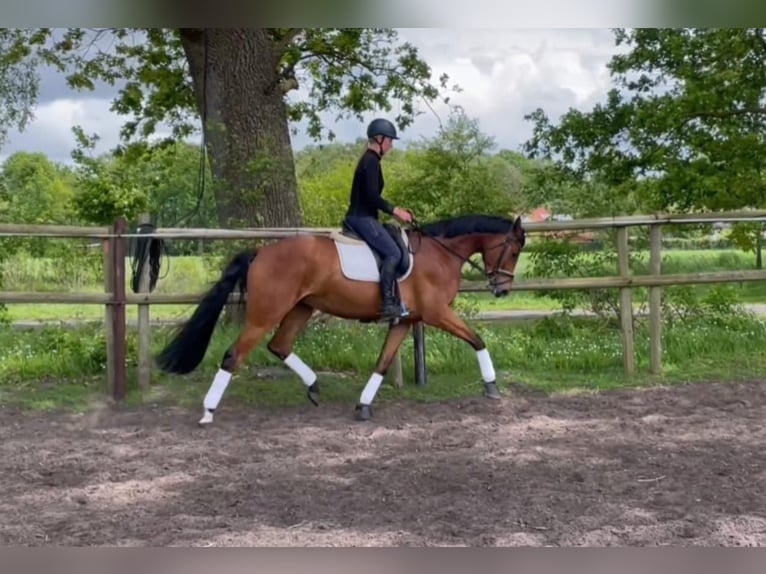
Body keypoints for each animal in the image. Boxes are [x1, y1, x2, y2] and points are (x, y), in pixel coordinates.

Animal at [155, 213, 526, 424]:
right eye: (514, 249)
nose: (502, 289)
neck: (439, 253)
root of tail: (260, 252)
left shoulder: (406, 320)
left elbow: (382, 362)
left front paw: (363, 406)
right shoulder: (437, 313)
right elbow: (477, 339)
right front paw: (492, 386)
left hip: (301, 308)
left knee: (280, 345)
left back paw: (314, 386)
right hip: (265, 314)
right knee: (235, 356)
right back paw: (208, 412)